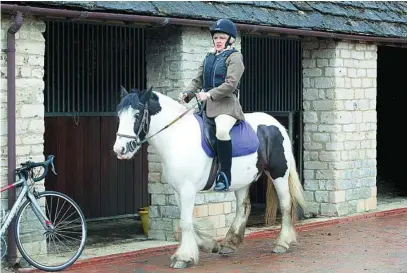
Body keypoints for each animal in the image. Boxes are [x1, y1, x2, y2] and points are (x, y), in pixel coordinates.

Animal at [111, 86, 306, 268]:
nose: (119, 150)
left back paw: (282, 243)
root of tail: (276, 125)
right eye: (119, 115)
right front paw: (208, 245)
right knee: (243, 207)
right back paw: (229, 244)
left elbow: (185, 222)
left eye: (137, 115)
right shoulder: (178, 190)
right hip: (242, 180)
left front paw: (183, 258)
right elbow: (188, 220)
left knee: (286, 204)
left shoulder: (187, 189)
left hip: (279, 174)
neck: (177, 137)